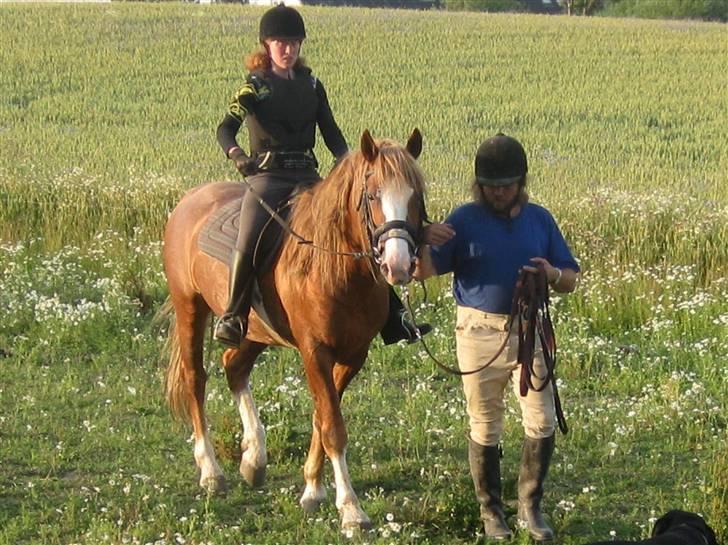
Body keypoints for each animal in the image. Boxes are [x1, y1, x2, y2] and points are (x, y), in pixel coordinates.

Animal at [161, 127, 426, 528]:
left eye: (416, 197)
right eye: (372, 195)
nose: (398, 265)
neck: (331, 267)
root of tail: (191, 199)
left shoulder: (353, 355)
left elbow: (321, 418)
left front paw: (313, 490)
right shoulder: (315, 351)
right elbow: (333, 427)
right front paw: (351, 509)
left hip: (254, 329)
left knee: (233, 366)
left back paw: (253, 458)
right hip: (189, 306)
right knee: (196, 379)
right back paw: (211, 472)